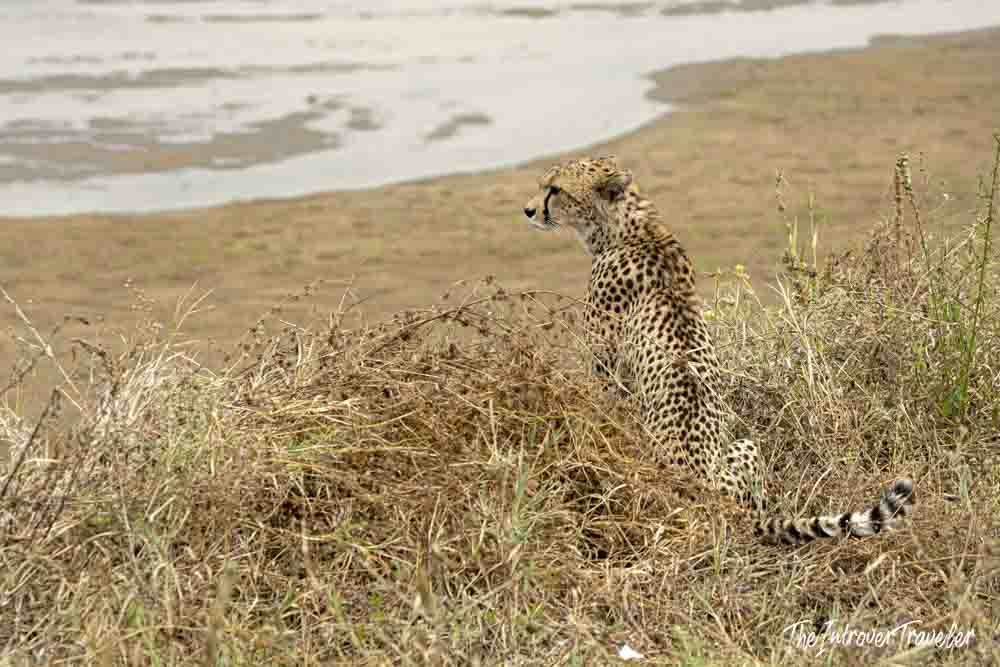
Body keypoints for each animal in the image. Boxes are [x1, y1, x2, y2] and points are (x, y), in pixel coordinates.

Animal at [520, 155, 914, 545]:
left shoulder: (605, 366)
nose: (528, 210)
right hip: (747, 446)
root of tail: (711, 493)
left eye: (555, 189)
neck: (628, 227)